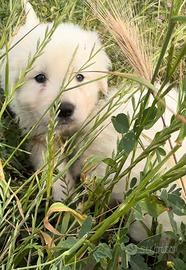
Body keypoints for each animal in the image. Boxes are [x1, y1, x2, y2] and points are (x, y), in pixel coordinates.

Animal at [0, 2, 185, 242]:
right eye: (39, 78)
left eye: (80, 77)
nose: (65, 109)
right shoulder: (43, 138)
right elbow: (54, 169)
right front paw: (66, 202)